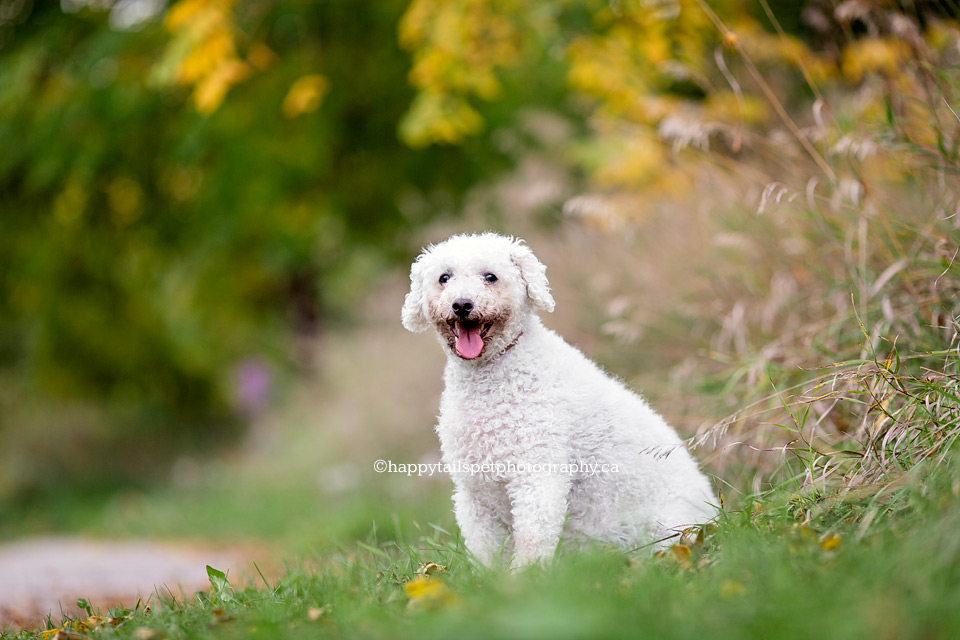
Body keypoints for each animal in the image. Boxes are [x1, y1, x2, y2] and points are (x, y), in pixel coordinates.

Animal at [400, 232, 712, 568]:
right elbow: (485, 550)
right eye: (444, 278)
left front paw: (525, 577)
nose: (461, 304)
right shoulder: (474, 491)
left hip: (671, 528)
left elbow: (533, 539)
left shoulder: (538, 475)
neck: (494, 375)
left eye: (490, 277)